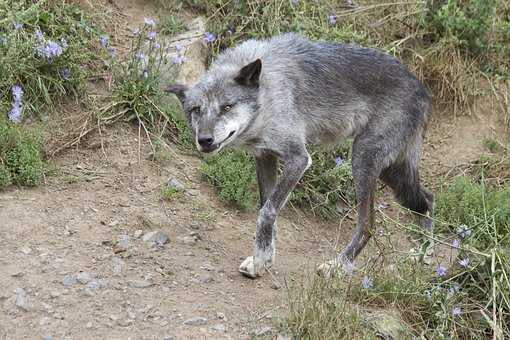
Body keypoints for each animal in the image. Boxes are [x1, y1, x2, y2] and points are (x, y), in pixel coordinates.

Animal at [165, 33, 432, 278]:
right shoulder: (265, 157)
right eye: (196, 110)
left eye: (227, 107)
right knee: (427, 200)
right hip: (391, 172)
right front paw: (264, 258)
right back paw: (423, 258)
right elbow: (267, 208)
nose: (204, 140)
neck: (266, 93)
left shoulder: (298, 159)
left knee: (368, 225)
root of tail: (422, 89)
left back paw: (337, 266)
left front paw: (260, 260)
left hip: (363, 161)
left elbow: (267, 212)